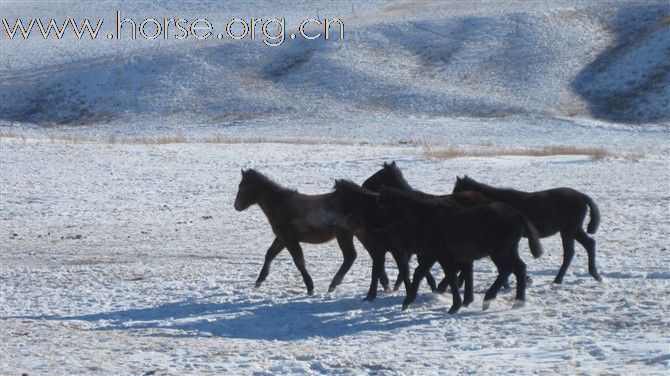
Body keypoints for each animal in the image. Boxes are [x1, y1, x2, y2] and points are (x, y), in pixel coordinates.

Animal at [234, 169, 392, 296]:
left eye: (242, 186)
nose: (236, 206)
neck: (280, 205)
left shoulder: (289, 239)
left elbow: (299, 261)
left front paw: (310, 287)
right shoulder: (282, 238)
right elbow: (270, 254)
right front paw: (259, 281)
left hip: (344, 234)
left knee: (350, 256)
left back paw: (333, 285)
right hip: (360, 233)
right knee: (374, 254)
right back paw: (386, 284)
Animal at [378, 187, 544, 312]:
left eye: (383, 204)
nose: (378, 230)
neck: (429, 219)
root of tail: (518, 214)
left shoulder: (442, 256)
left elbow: (451, 277)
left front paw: (455, 306)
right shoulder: (433, 256)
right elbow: (420, 273)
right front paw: (407, 302)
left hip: (500, 252)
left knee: (509, 269)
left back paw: (495, 300)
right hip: (507, 251)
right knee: (517, 268)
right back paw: (513, 302)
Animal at [456, 175, 604, 284]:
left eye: (456, 189)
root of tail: (582, 196)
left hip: (568, 230)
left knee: (569, 253)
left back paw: (558, 279)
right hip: (575, 230)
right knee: (590, 244)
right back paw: (595, 275)